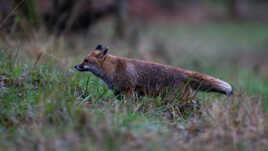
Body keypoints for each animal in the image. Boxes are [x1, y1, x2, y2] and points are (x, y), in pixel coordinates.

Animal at [74, 44, 232, 99]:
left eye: (86, 61)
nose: (76, 66)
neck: (113, 70)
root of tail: (184, 72)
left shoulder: (128, 90)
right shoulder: (119, 92)